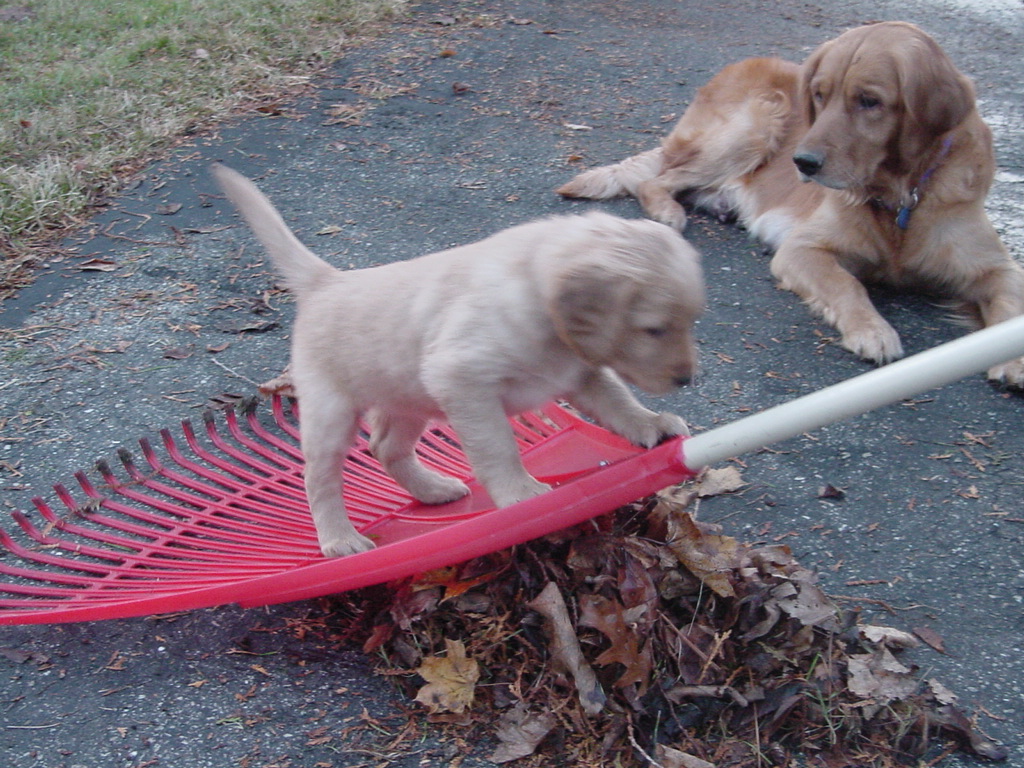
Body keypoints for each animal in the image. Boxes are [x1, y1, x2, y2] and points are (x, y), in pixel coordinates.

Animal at [211, 165, 708, 561]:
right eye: (653, 329)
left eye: (689, 321)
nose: (686, 379)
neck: (534, 294)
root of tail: (326, 282)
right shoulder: (463, 380)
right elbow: (498, 446)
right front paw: (520, 493)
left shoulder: (582, 371)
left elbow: (619, 402)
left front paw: (652, 425)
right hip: (333, 410)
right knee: (320, 475)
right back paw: (340, 539)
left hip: (407, 398)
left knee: (385, 447)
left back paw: (432, 490)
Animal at [557, 21, 1024, 387]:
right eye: (819, 95)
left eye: (869, 101)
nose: (803, 161)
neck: (899, 197)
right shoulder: (803, 248)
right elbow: (847, 284)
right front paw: (873, 331)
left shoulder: (995, 266)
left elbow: (1011, 303)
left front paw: (1014, 361)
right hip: (755, 123)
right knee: (655, 180)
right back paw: (669, 213)